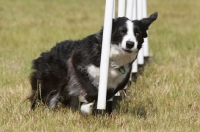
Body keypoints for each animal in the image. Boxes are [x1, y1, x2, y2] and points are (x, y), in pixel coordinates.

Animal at [28, 11, 159, 114]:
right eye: (122, 31)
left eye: (137, 33)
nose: (130, 44)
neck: (113, 60)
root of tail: (48, 52)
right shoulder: (77, 64)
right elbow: (91, 89)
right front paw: (87, 104)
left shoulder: (118, 83)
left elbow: (105, 95)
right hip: (52, 81)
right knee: (45, 96)